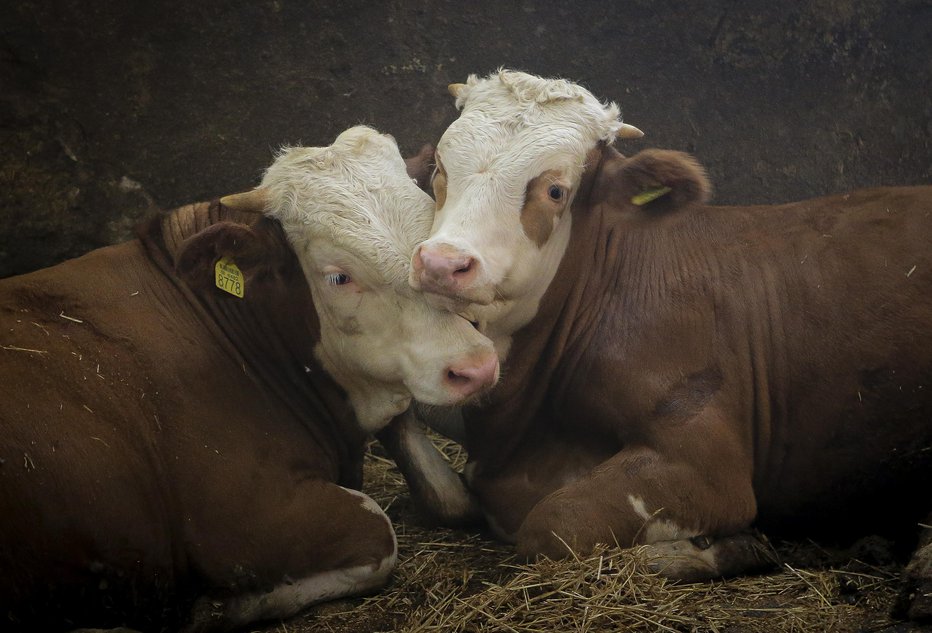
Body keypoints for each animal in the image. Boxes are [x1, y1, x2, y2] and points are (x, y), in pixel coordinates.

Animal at [0, 126, 498, 628]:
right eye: (338, 277)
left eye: (431, 243)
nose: (476, 366)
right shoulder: (239, 517)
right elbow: (379, 532)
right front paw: (221, 606)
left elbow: (448, 492)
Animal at [414, 69, 932, 616]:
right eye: (440, 168)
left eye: (555, 190)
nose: (442, 263)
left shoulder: (706, 461)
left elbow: (553, 525)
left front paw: (725, 548)